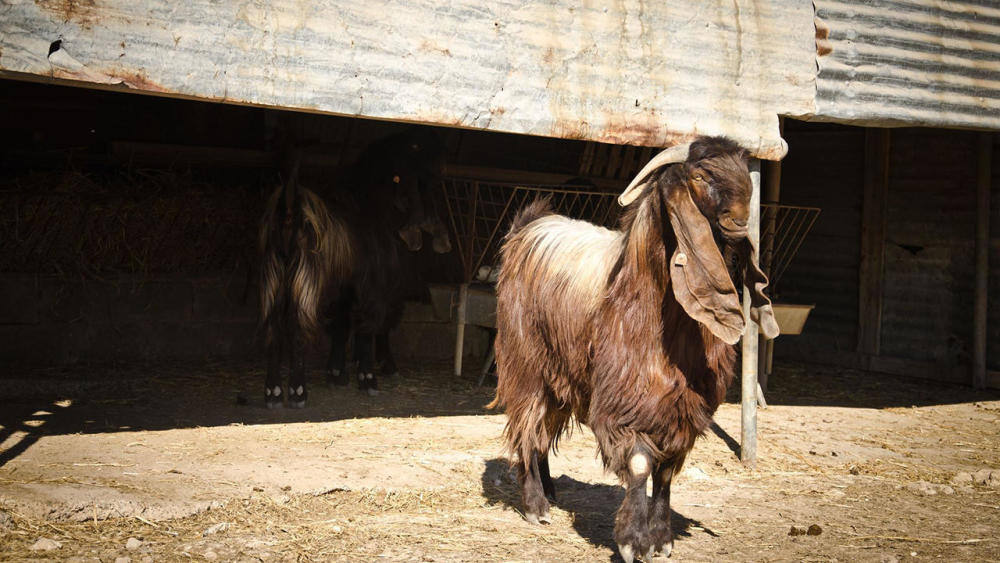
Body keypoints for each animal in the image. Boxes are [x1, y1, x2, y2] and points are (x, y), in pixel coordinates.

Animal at [492, 138, 780, 563]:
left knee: (542, 431)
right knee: (528, 426)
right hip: (526, 364)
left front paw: (660, 539)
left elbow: (665, 472)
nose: (741, 220)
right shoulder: (623, 404)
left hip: (563, 377)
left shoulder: (683, 408)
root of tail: (529, 227)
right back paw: (535, 505)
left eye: (745, 173)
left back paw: (549, 491)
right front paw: (632, 540)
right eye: (700, 175)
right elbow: (641, 465)